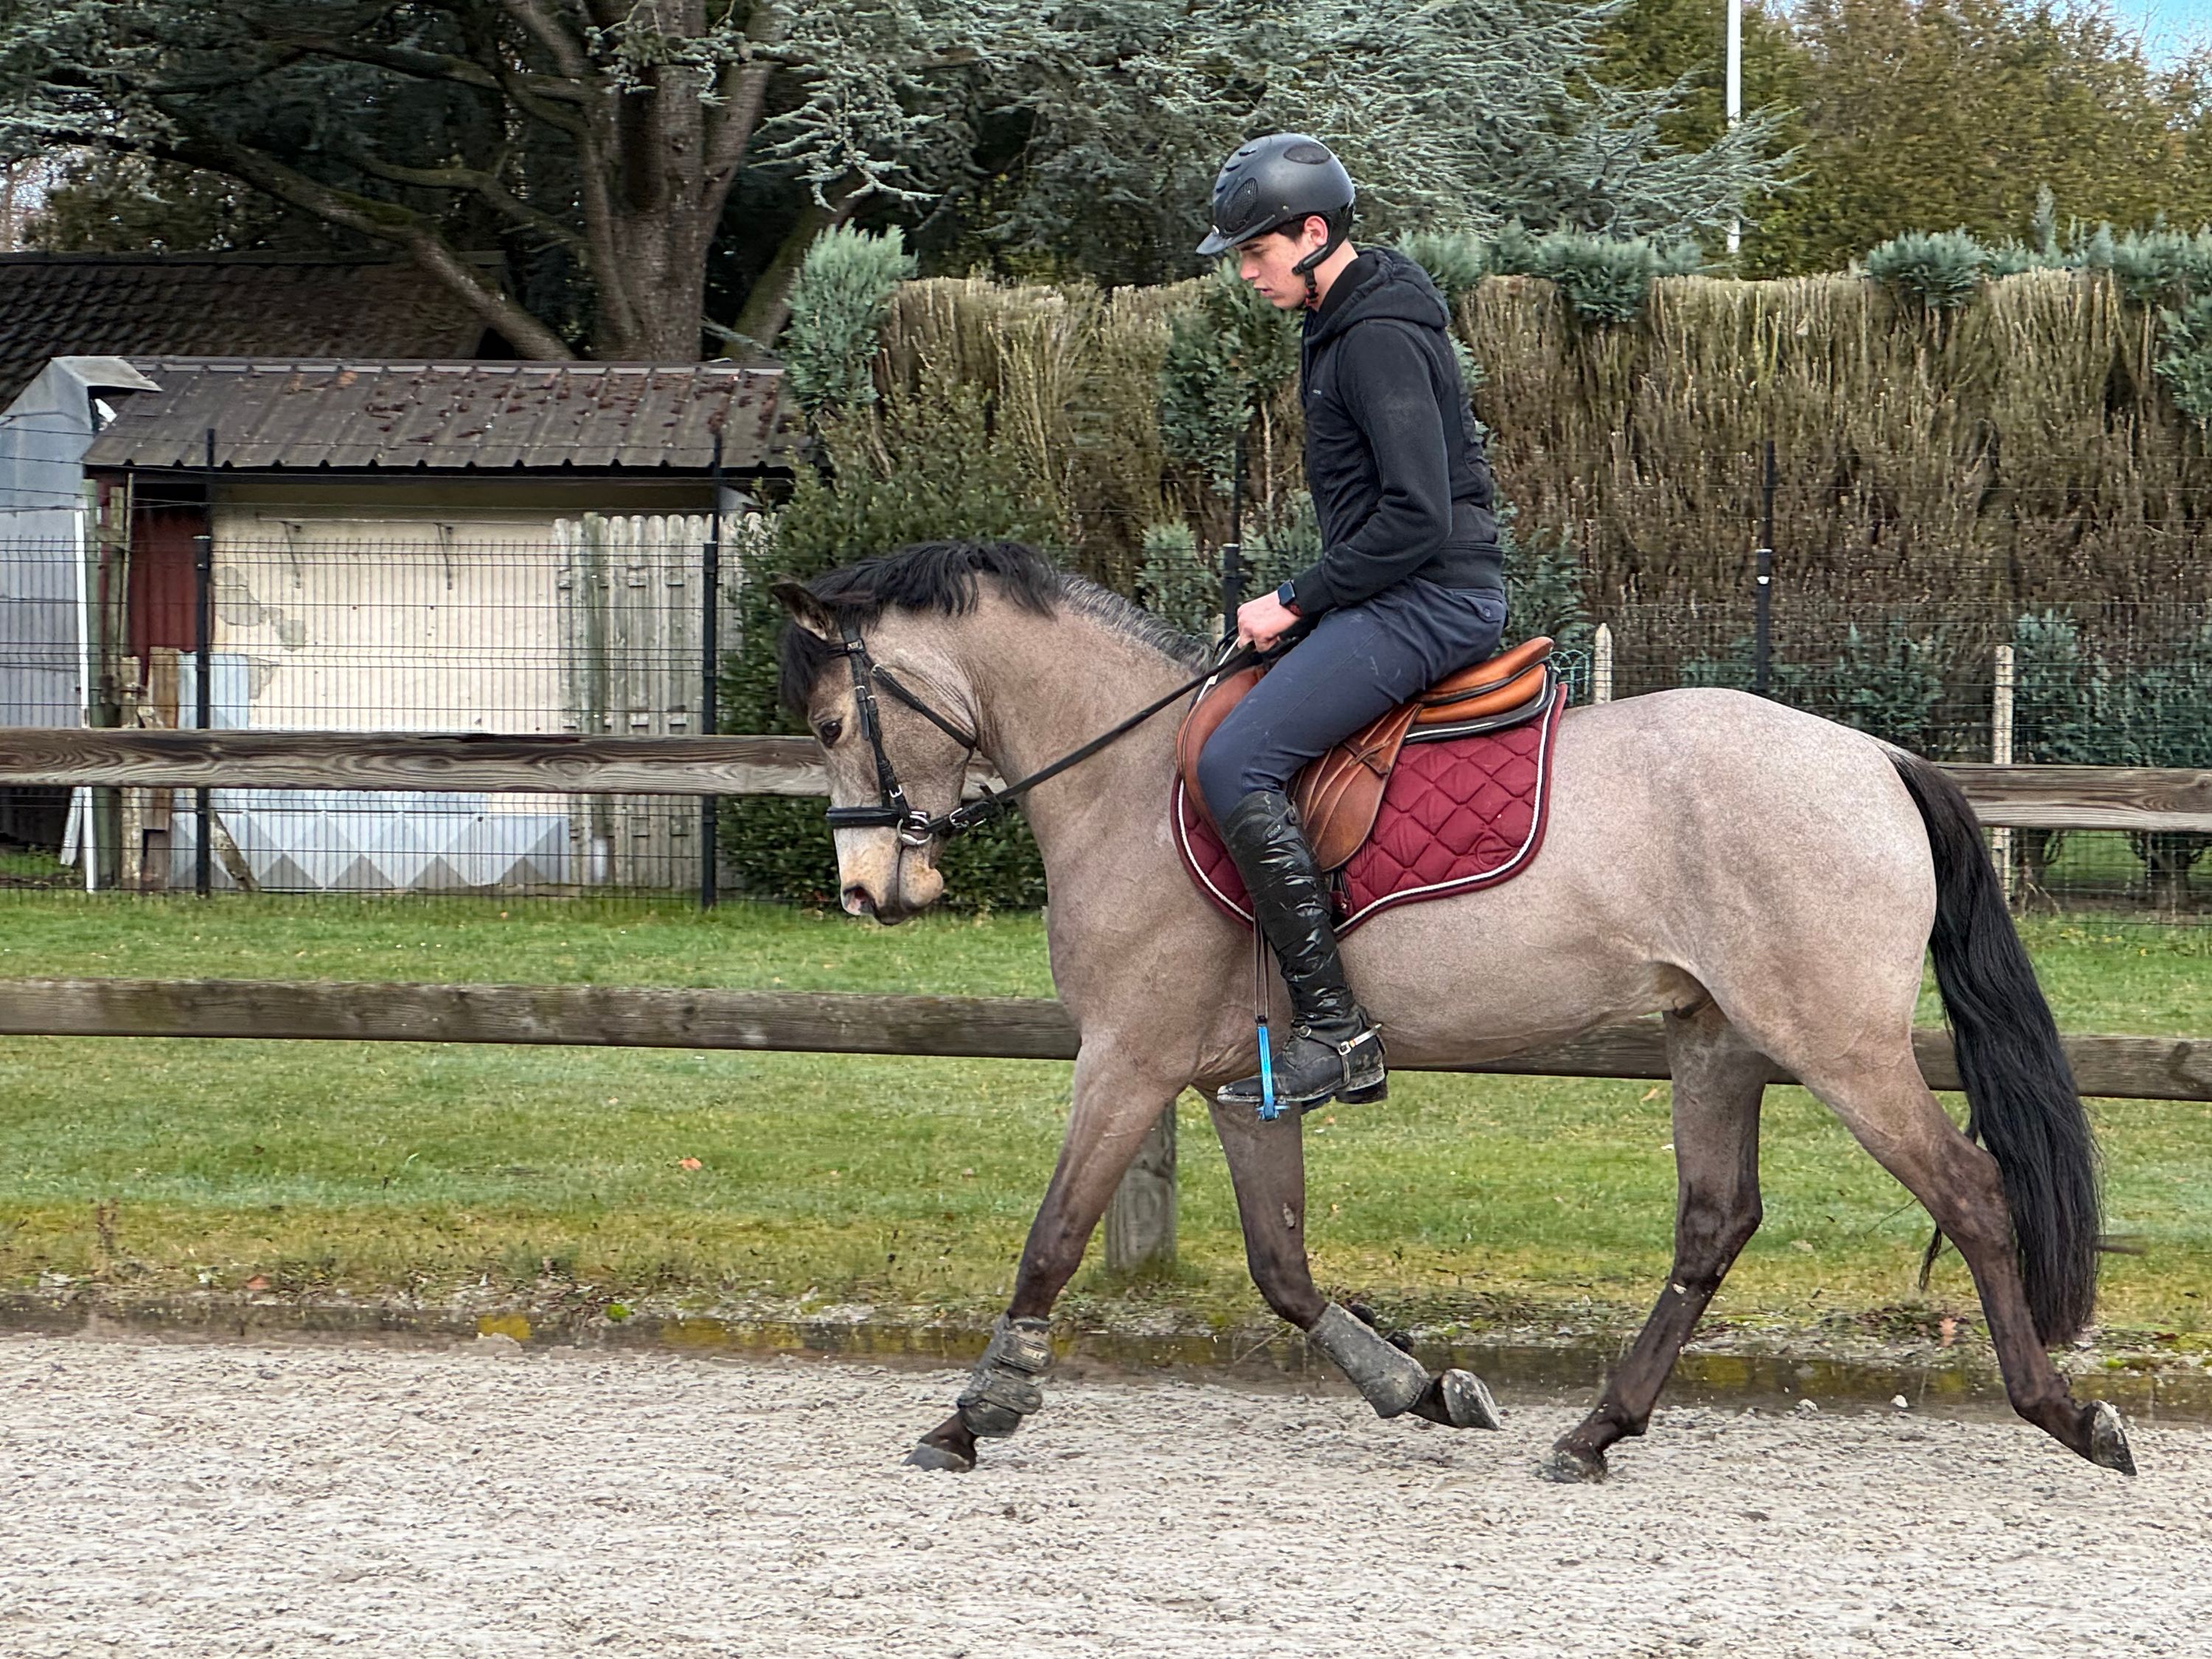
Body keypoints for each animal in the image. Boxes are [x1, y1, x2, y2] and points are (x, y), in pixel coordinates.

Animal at [770, 539, 2132, 1483]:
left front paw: (975, 1412)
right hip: (1717, 1038)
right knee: (1714, 1223)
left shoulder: (1127, 1061)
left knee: (1970, 1193)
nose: (864, 892)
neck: (1127, 774)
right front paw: (1420, 1390)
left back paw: (2065, 1415)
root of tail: (1876, 759)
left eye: (834, 722)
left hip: (1837, 1046)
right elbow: (1282, 1269)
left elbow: (1053, 1238)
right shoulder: (1239, 1082)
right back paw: (1594, 1430)